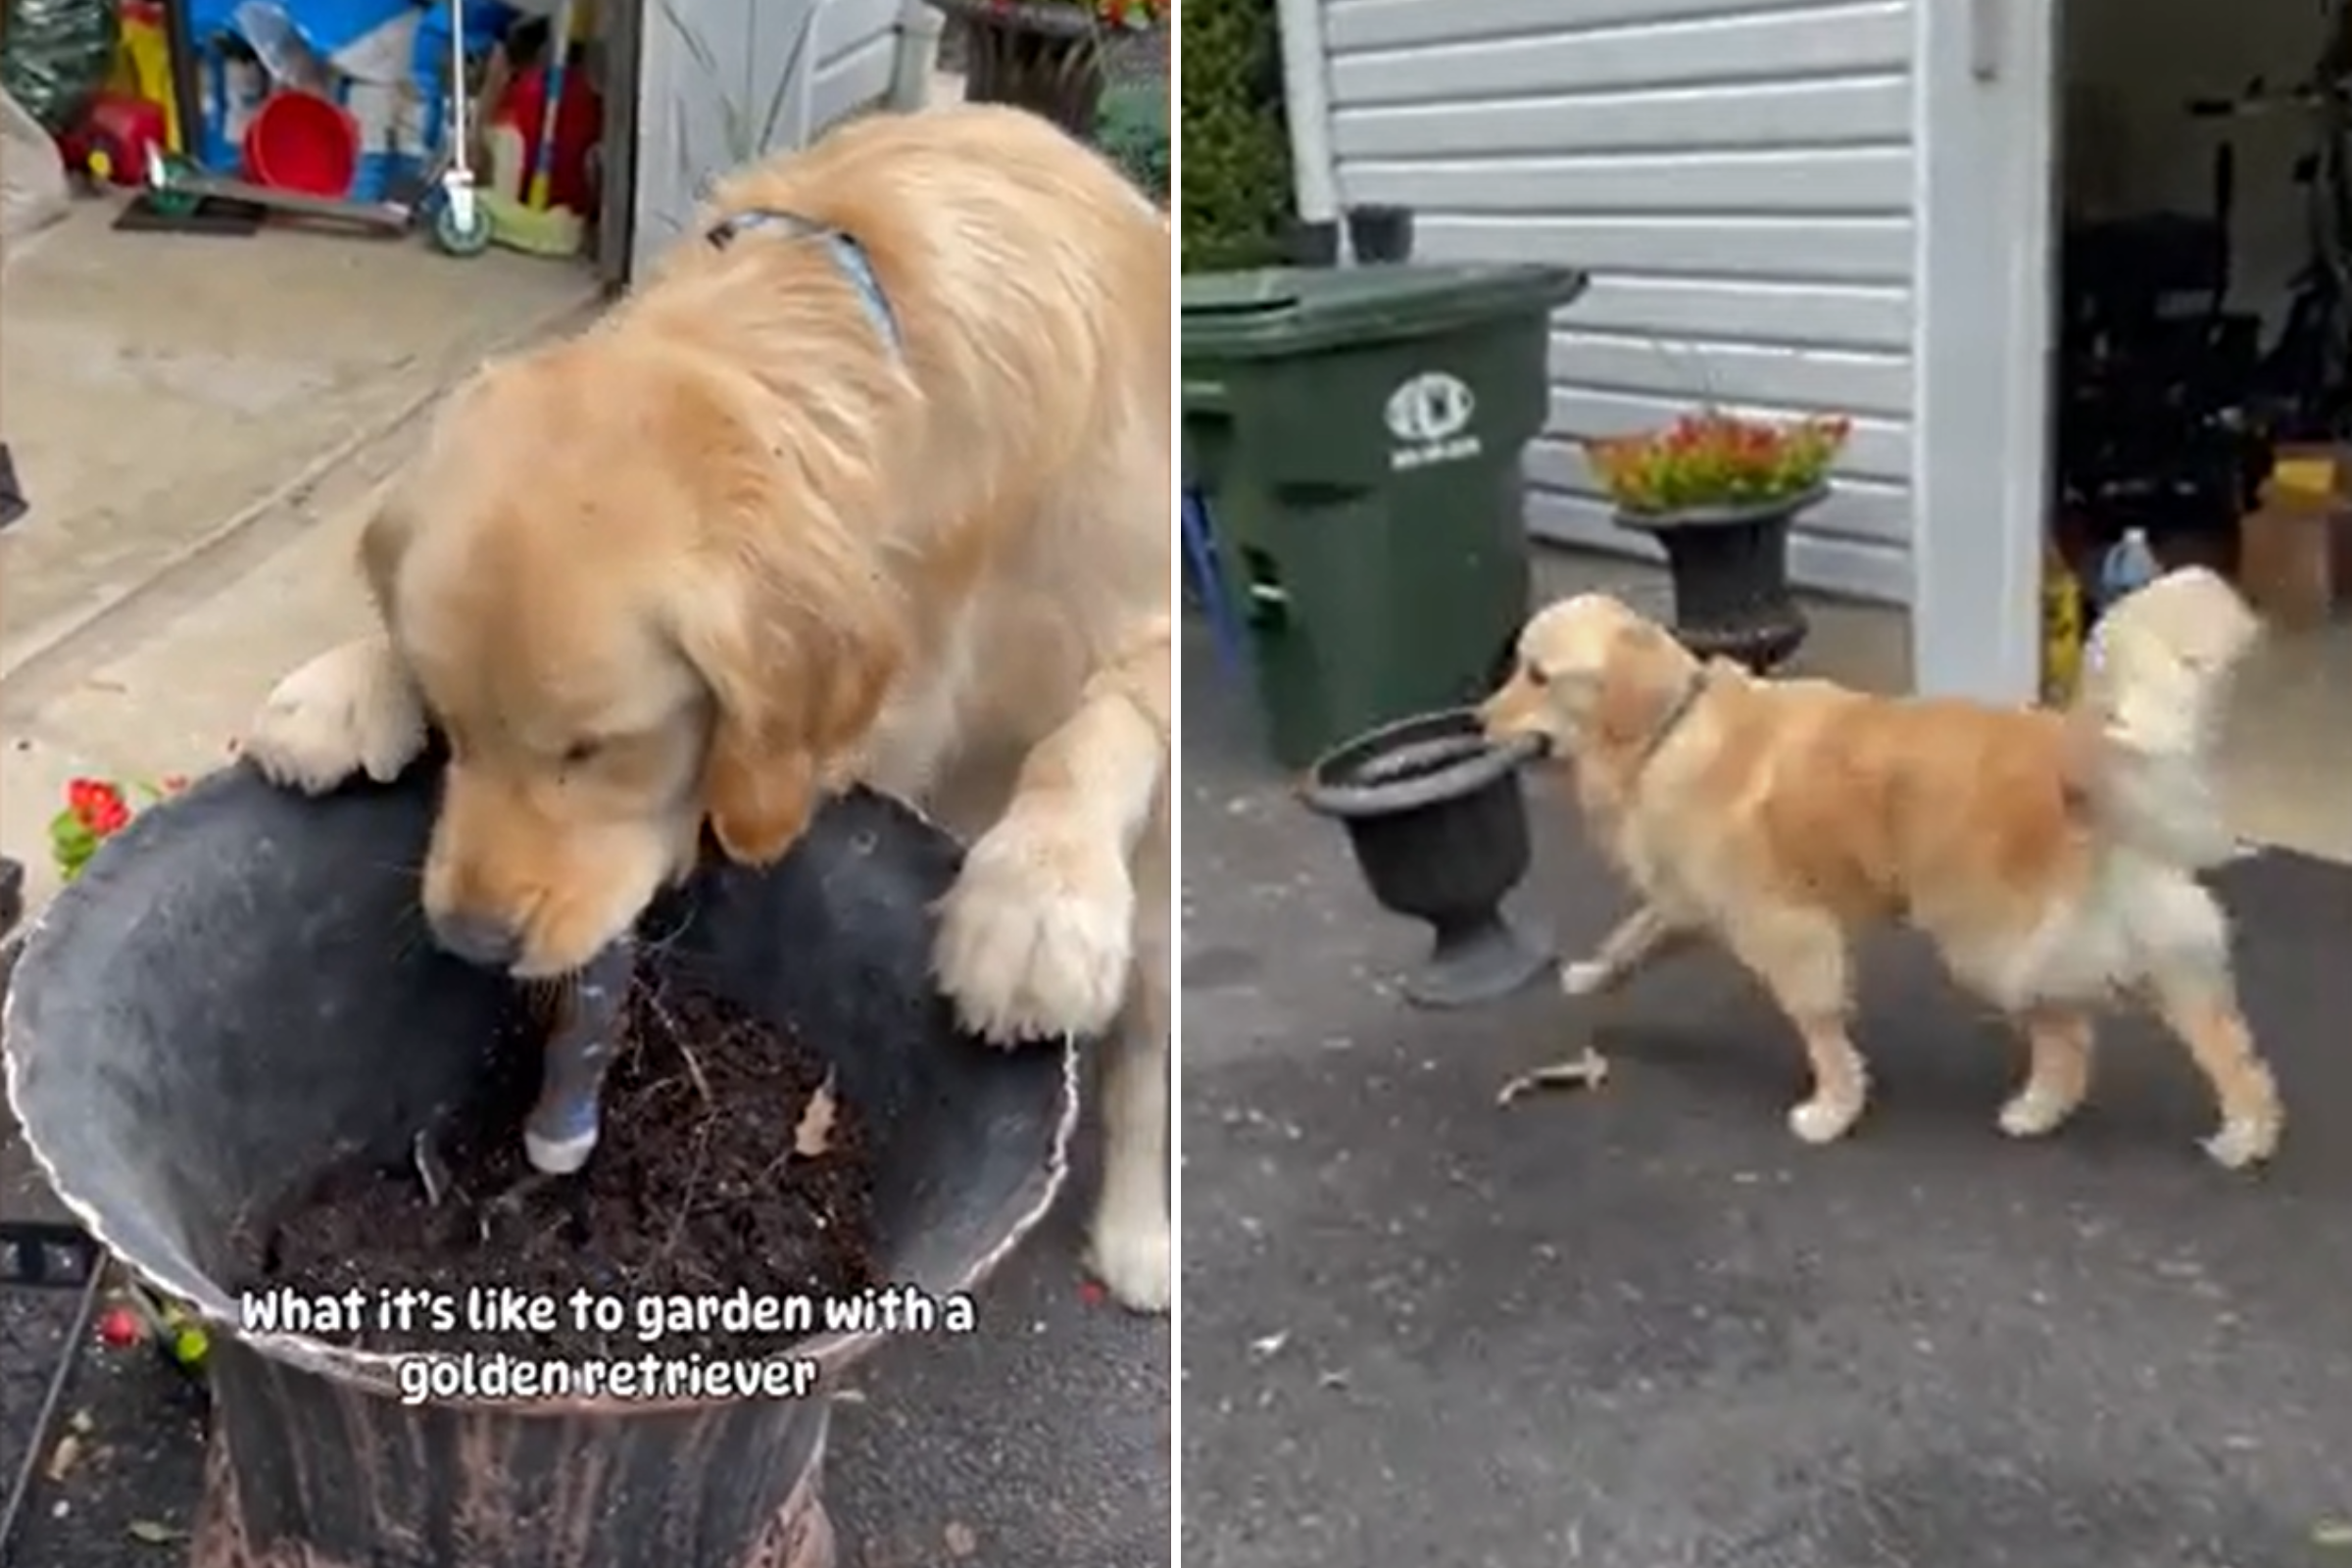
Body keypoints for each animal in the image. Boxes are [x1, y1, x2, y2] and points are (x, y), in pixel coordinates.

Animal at [238, 104, 1176, 1316]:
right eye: (456, 724)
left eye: (596, 748)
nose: (472, 940)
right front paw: (346, 683)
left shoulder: (1149, 606)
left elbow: (1106, 713)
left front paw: (1034, 901)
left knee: (1149, 1043)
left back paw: (1141, 1232)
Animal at [1486, 566, 2277, 1165]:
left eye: (1538, 675)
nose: (1476, 722)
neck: (1670, 726)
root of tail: (2079, 753)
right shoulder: (1693, 898)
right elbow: (1634, 934)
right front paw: (1592, 975)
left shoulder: (1786, 928)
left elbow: (1820, 1029)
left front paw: (1833, 1108)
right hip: (2149, 928)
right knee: (2218, 1036)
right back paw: (2246, 1130)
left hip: (1991, 940)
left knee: (2072, 1031)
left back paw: (2045, 1105)